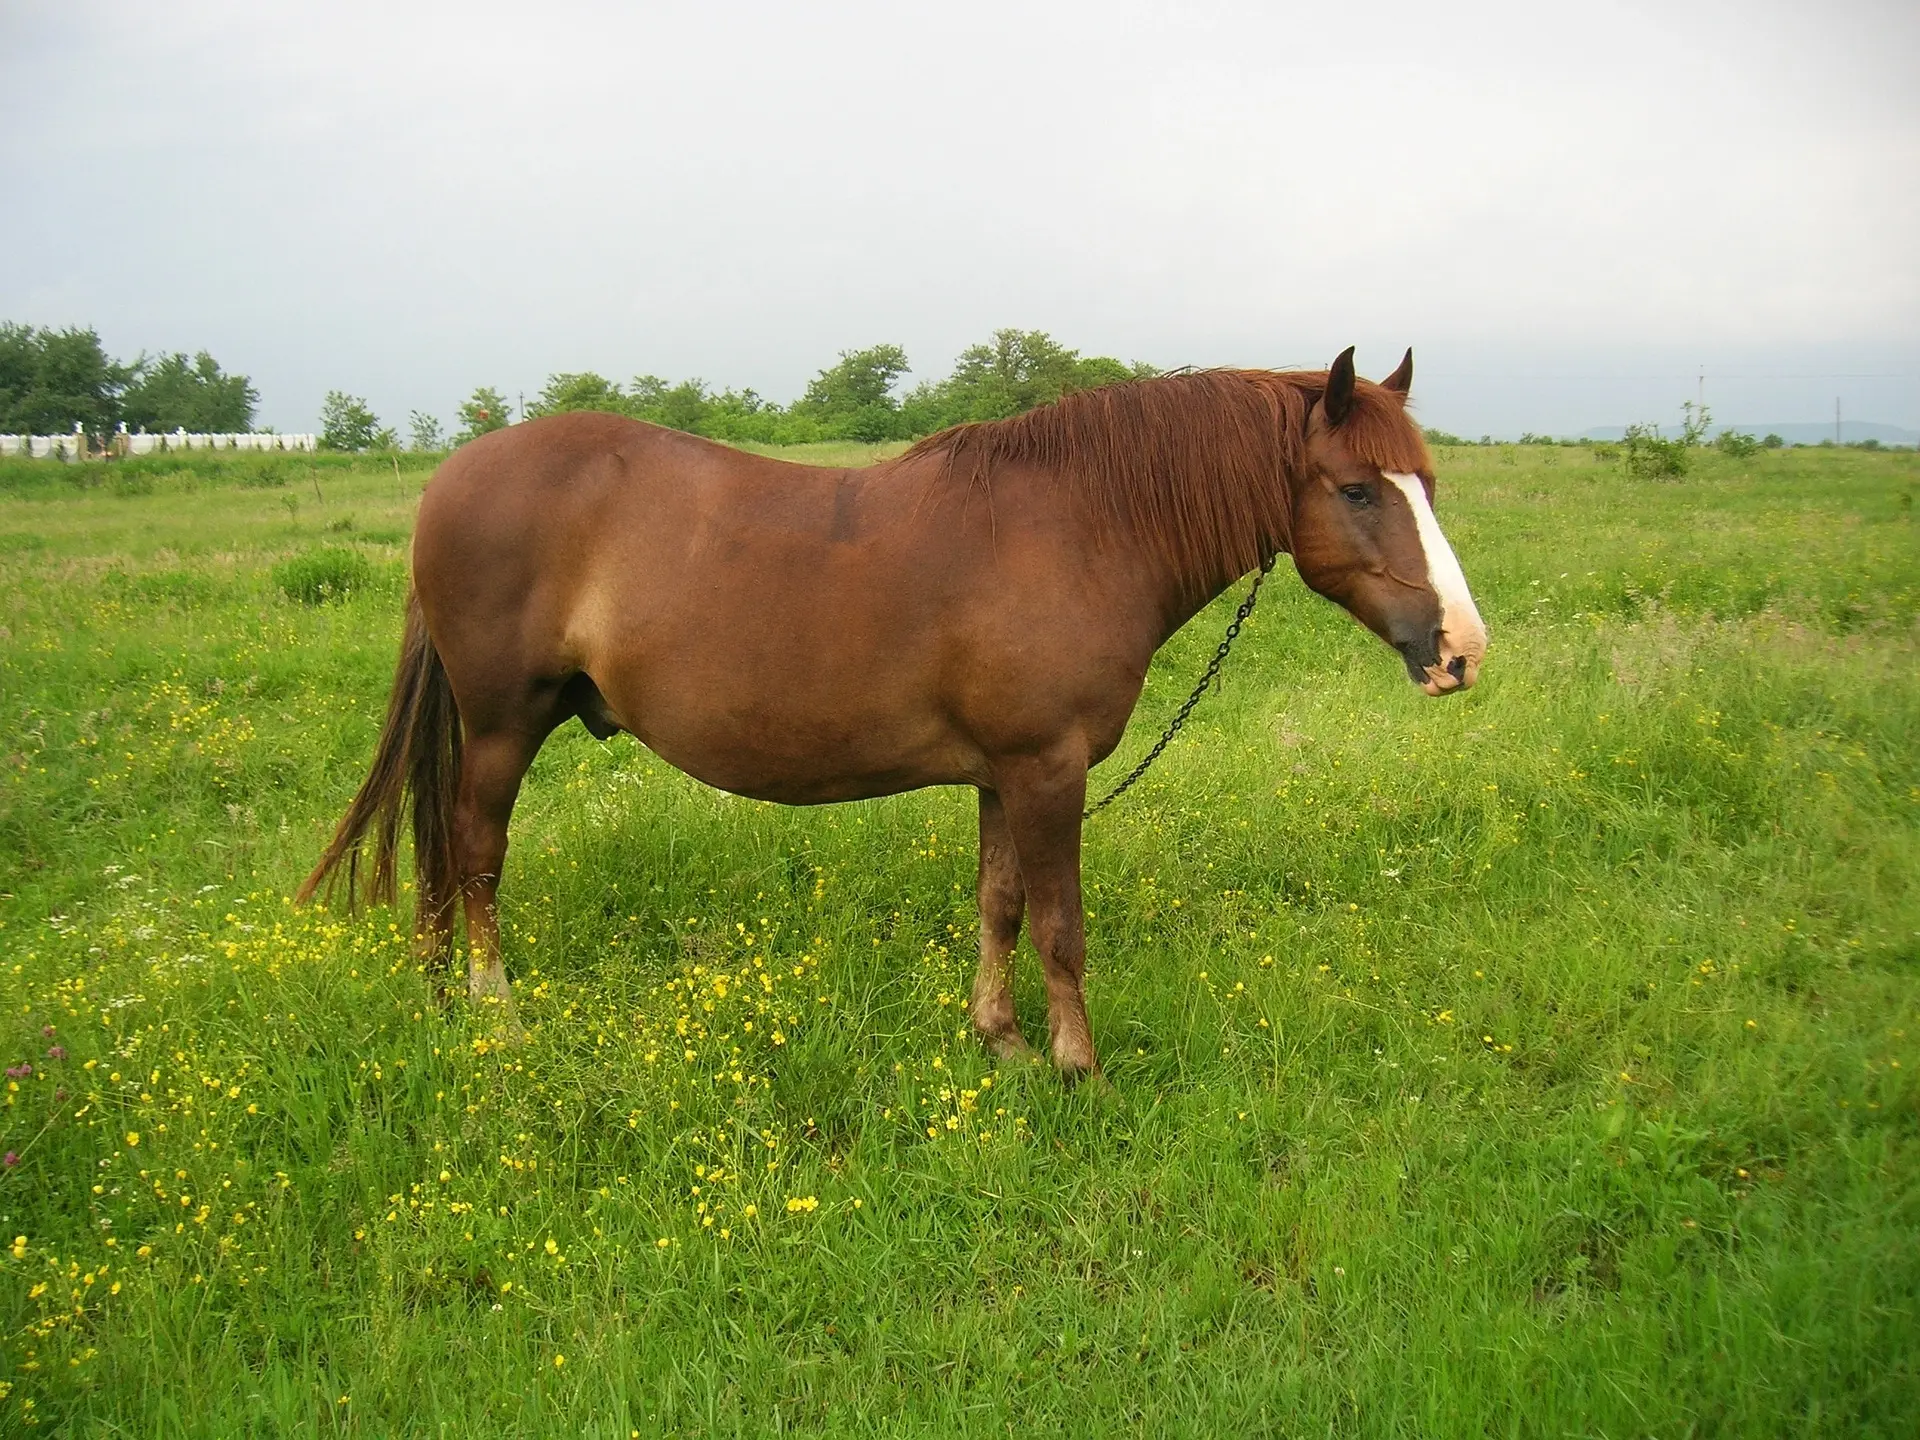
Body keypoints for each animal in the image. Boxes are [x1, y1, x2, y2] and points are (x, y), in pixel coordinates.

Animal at [295, 343, 1482, 1075]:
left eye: (1428, 484)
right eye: (1358, 490)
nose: (1460, 652)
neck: (1080, 526)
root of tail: (451, 477)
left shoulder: (1006, 773)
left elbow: (999, 906)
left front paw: (1002, 1044)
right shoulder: (1047, 769)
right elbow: (1061, 926)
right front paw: (1080, 1069)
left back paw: (444, 1004)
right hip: (503, 725)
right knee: (473, 854)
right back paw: (494, 1015)